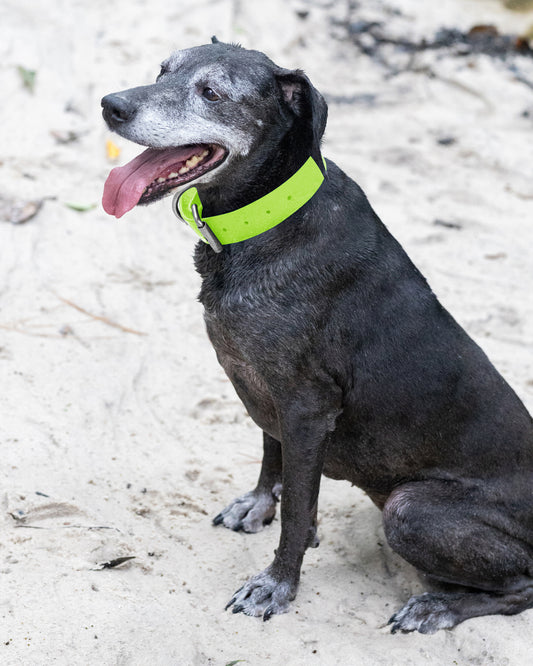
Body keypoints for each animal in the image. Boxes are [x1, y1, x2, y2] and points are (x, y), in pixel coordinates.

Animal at [101, 39, 532, 632]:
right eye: (162, 69)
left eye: (211, 93)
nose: (111, 106)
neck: (265, 218)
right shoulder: (264, 390)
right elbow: (271, 453)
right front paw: (258, 503)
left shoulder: (307, 408)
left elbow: (299, 510)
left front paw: (277, 585)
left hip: (409, 509)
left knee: (521, 586)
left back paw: (440, 606)